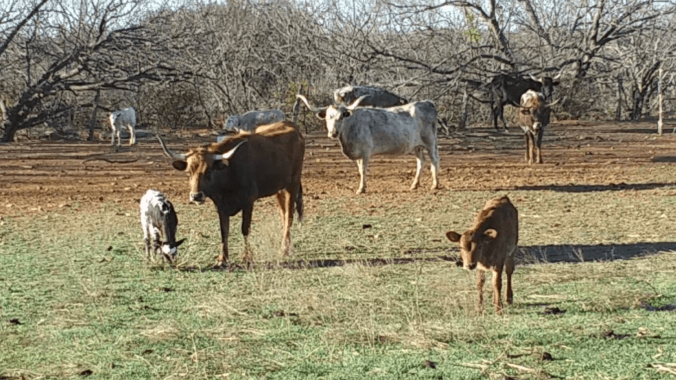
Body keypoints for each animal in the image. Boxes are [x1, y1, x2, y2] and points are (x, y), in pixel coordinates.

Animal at [156, 120, 304, 266]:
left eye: (209, 171)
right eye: (188, 172)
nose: (196, 196)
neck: (229, 172)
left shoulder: (248, 202)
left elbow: (245, 229)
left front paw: (247, 257)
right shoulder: (220, 206)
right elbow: (224, 231)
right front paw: (222, 258)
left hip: (293, 185)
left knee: (289, 217)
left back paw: (284, 250)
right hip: (279, 189)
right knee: (283, 215)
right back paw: (287, 248)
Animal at [296, 92, 438, 193]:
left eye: (341, 117)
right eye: (327, 117)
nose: (333, 133)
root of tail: (427, 102)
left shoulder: (365, 152)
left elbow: (363, 170)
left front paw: (361, 189)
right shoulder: (358, 154)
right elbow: (359, 170)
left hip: (430, 142)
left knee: (434, 160)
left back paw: (435, 185)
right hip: (416, 146)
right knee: (421, 162)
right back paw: (414, 185)